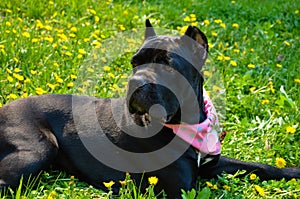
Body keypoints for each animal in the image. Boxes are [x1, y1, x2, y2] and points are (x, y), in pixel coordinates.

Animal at [0, 19, 298, 197]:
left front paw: (291, 171)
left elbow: (256, 166)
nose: (135, 82)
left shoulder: (212, 164)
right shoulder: (181, 188)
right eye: (134, 62)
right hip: (38, 148)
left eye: (168, 64)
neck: (188, 122)